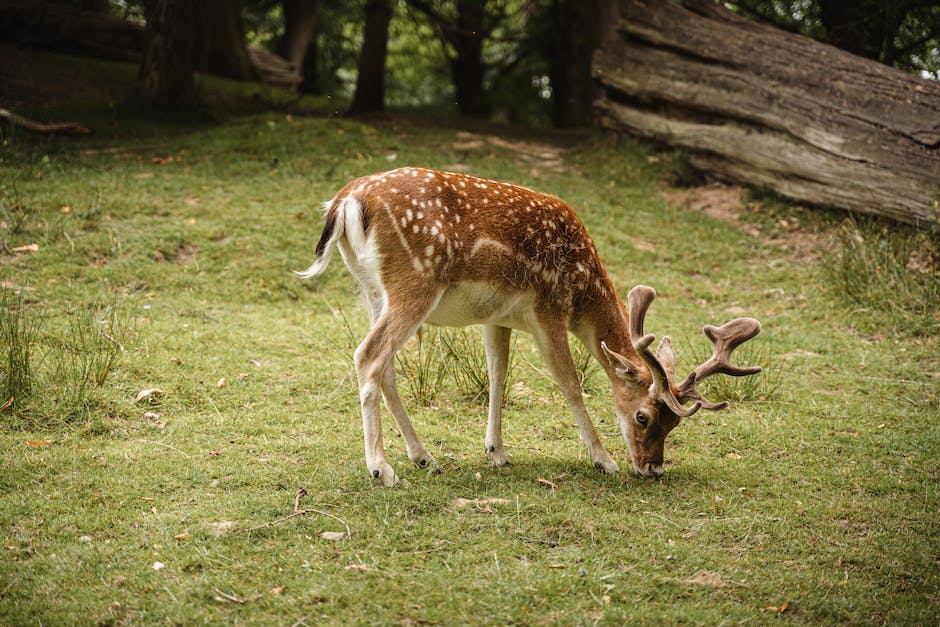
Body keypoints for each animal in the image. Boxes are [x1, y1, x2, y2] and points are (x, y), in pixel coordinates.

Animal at [298, 167, 760, 486]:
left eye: (674, 423)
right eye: (644, 416)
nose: (653, 468)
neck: (583, 294)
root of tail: (345, 202)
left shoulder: (497, 318)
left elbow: (498, 374)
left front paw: (497, 451)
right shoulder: (548, 310)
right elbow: (570, 382)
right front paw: (604, 460)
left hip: (372, 291)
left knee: (385, 367)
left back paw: (423, 456)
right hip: (415, 282)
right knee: (368, 355)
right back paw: (382, 469)